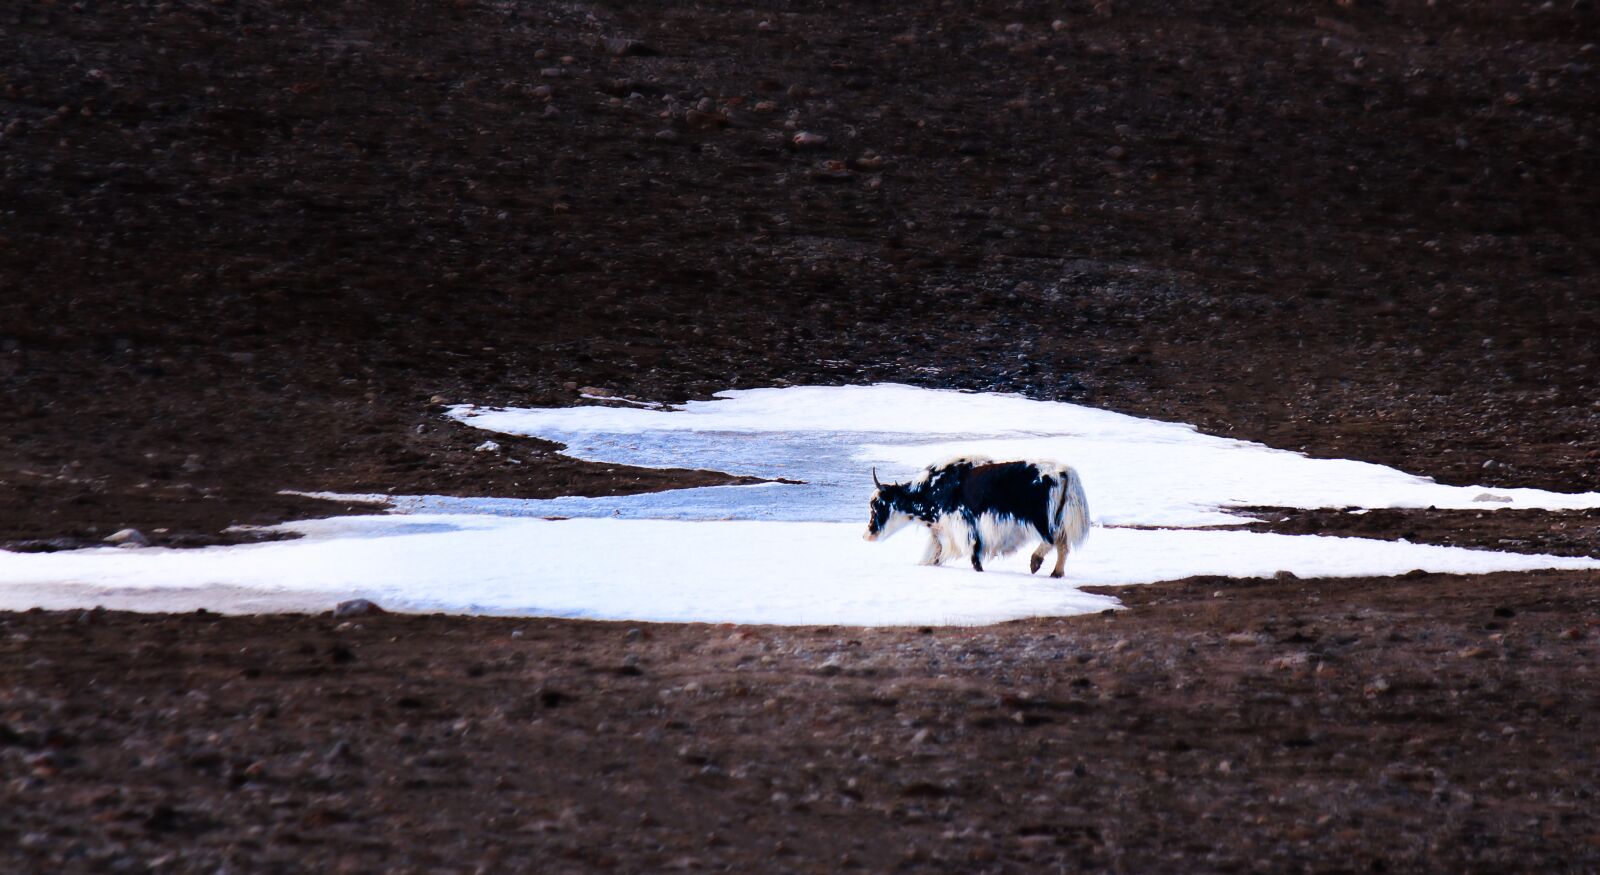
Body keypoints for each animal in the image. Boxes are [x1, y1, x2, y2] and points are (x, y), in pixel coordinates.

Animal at [862, 455, 1090, 578]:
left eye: (877, 505)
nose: (867, 535)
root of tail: (1064, 472)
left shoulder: (965, 528)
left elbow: (973, 555)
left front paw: (979, 570)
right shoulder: (942, 534)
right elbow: (932, 557)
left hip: (1041, 519)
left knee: (1052, 540)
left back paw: (1035, 563)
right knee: (1063, 545)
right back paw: (1056, 573)